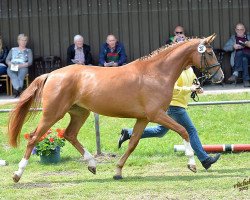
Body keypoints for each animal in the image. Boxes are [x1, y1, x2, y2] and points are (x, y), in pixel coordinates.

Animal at [8, 34, 223, 183]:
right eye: (210, 53)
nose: (219, 76)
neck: (155, 73)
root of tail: (51, 74)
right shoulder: (156, 115)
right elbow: (184, 131)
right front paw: (192, 164)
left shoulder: (143, 118)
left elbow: (133, 142)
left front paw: (118, 171)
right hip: (53, 113)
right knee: (34, 138)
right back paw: (17, 174)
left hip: (80, 113)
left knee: (69, 134)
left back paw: (92, 165)